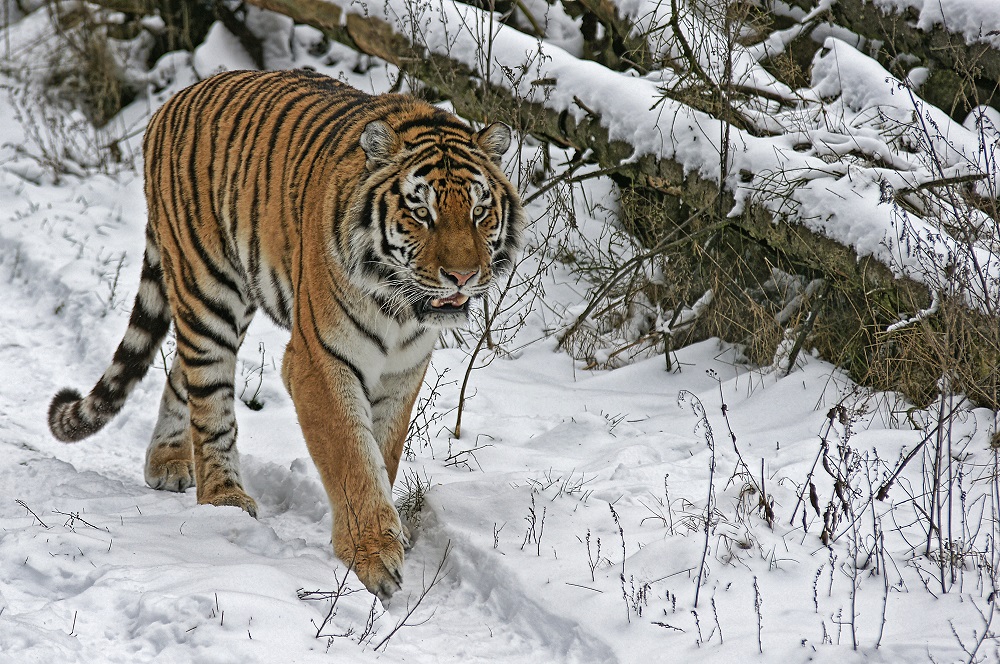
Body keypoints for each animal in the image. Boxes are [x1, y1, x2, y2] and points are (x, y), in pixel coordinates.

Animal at [47, 68, 528, 600]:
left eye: (480, 212)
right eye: (422, 213)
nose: (462, 276)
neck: (400, 306)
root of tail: (172, 101)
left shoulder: (403, 369)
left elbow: (381, 452)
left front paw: (387, 536)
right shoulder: (321, 360)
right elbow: (352, 457)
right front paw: (373, 558)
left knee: (181, 372)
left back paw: (168, 461)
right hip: (208, 288)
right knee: (209, 395)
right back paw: (223, 497)